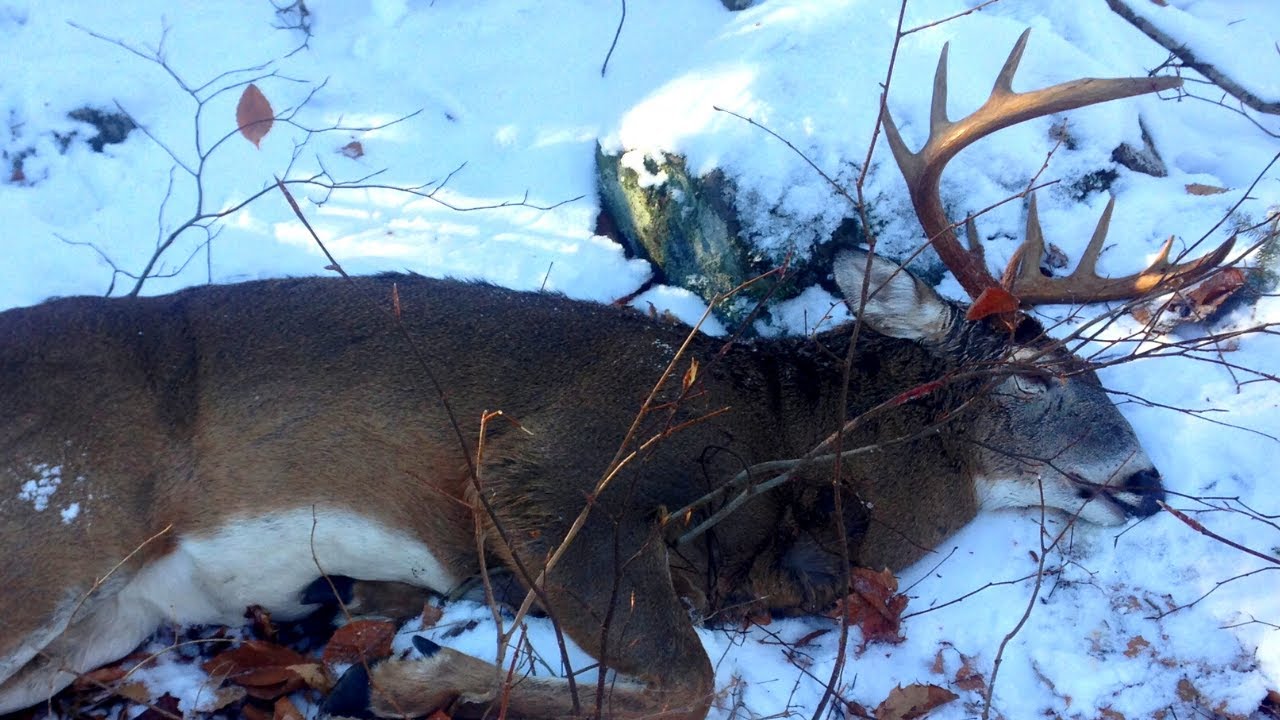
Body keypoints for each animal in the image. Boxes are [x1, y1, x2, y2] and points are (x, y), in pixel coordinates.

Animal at [0, 29, 1232, 720]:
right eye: (1039, 377)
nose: (1148, 486)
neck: (789, 435)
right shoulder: (551, 468)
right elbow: (687, 684)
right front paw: (411, 680)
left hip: (107, 616)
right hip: (58, 523)